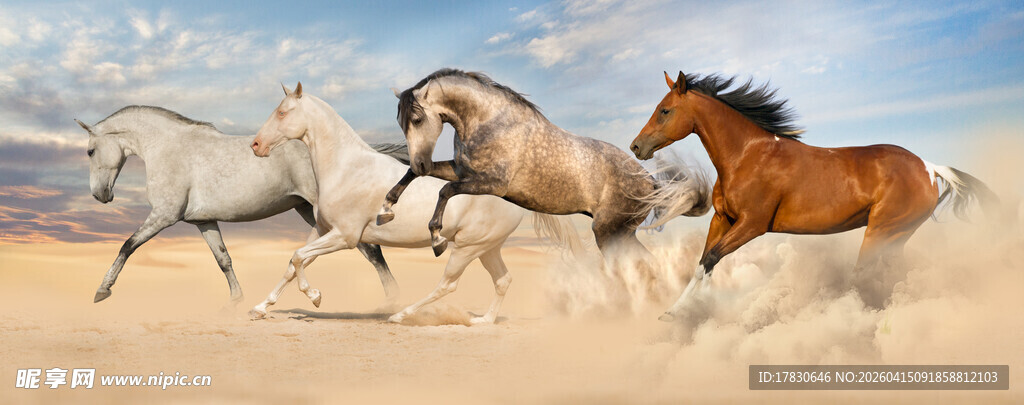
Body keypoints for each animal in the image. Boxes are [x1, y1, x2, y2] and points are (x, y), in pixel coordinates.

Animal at [75, 106, 408, 304]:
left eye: (90, 151)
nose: (100, 195)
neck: (170, 148)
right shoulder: (203, 221)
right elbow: (223, 259)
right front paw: (236, 302)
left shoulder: (163, 215)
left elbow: (127, 246)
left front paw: (102, 290)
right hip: (306, 210)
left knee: (372, 251)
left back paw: (393, 301)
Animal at [247, 83, 581, 324]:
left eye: (282, 112)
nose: (256, 145)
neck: (347, 167)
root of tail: (511, 194)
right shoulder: (321, 230)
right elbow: (293, 263)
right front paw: (260, 308)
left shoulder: (345, 237)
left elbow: (298, 258)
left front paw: (315, 296)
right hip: (487, 248)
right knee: (503, 280)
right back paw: (482, 321)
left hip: (467, 248)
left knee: (448, 284)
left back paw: (401, 315)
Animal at [375, 69, 709, 298]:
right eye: (402, 123)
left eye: (417, 119)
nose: (420, 160)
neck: (489, 122)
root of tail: (651, 182)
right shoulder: (461, 171)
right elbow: (413, 177)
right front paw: (385, 210)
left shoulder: (490, 184)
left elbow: (444, 191)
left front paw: (437, 240)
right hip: (621, 233)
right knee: (645, 263)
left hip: (610, 233)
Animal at [629, 71, 1000, 321]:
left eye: (664, 110)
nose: (636, 146)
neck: (748, 155)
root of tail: (929, 168)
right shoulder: (723, 219)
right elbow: (702, 263)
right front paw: (674, 312)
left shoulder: (753, 225)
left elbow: (711, 259)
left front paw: (692, 312)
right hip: (897, 236)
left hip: (881, 231)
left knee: (865, 274)